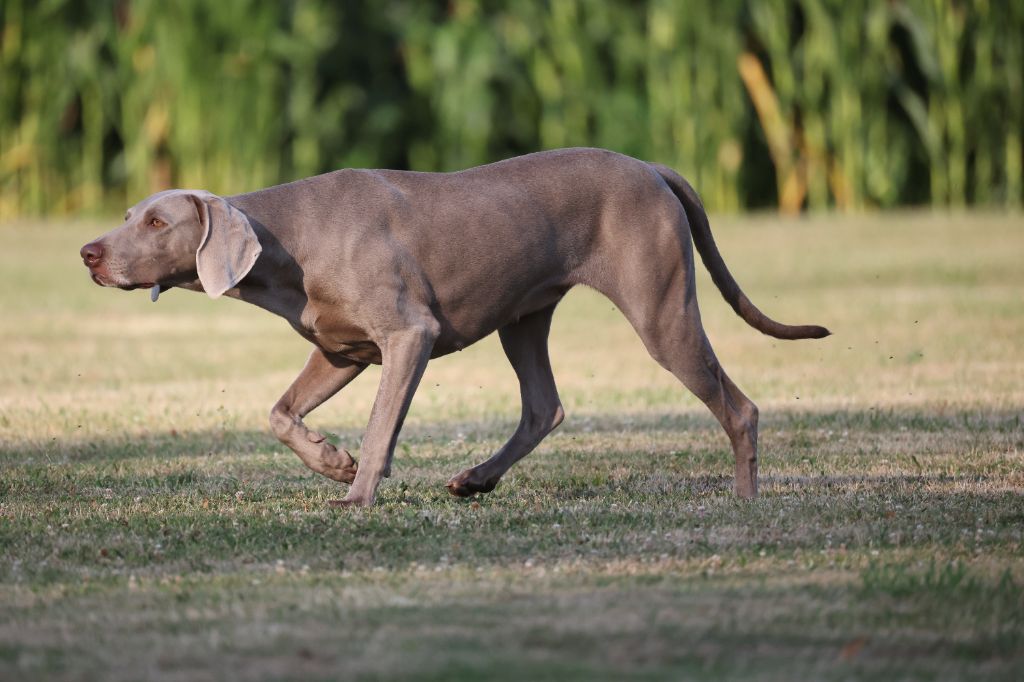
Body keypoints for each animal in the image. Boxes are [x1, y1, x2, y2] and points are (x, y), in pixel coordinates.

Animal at [81, 150, 831, 509]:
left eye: (157, 222)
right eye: (127, 215)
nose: (88, 253)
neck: (287, 243)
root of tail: (651, 167)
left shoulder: (408, 336)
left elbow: (382, 427)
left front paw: (356, 492)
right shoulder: (340, 350)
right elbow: (279, 412)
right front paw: (332, 460)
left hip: (661, 308)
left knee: (739, 406)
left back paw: (744, 500)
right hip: (525, 316)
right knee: (544, 407)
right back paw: (475, 480)